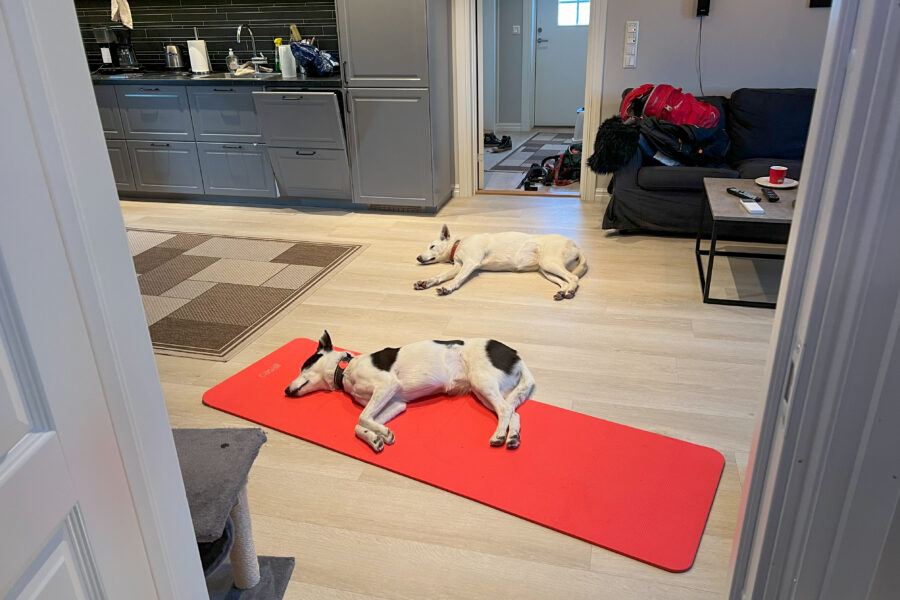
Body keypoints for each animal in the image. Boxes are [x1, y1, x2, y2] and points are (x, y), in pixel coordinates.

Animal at [284, 330, 532, 452]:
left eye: (303, 367)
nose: (285, 390)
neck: (345, 370)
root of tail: (515, 354)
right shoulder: (395, 403)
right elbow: (360, 424)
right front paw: (375, 438)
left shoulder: (387, 385)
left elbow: (361, 418)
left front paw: (381, 433)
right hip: (485, 392)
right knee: (512, 412)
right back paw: (513, 438)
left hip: (483, 383)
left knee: (505, 410)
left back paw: (499, 435)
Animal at [414, 225, 588, 300]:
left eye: (432, 246)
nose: (418, 257)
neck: (458, 245)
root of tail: (576, 245)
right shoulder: (458, 266)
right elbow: (440, 276)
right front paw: (425, 282)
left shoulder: (470, 262)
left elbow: (457, 279)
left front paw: (448, 287)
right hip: (545, 270)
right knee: (563, 282)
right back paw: (562, 292)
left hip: (549, 263)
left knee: (573, 278)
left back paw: (570, 292)